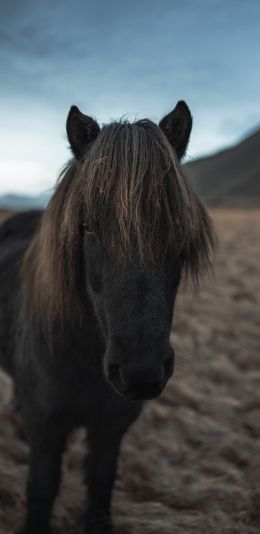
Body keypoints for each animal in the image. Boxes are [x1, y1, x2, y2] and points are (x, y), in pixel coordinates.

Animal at [0, 101, 214, 534]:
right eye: (87, 226)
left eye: (178, 226)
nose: (141, 372)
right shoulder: (48, 429)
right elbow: (41, 489)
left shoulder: (110, 429)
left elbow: (100, 488)